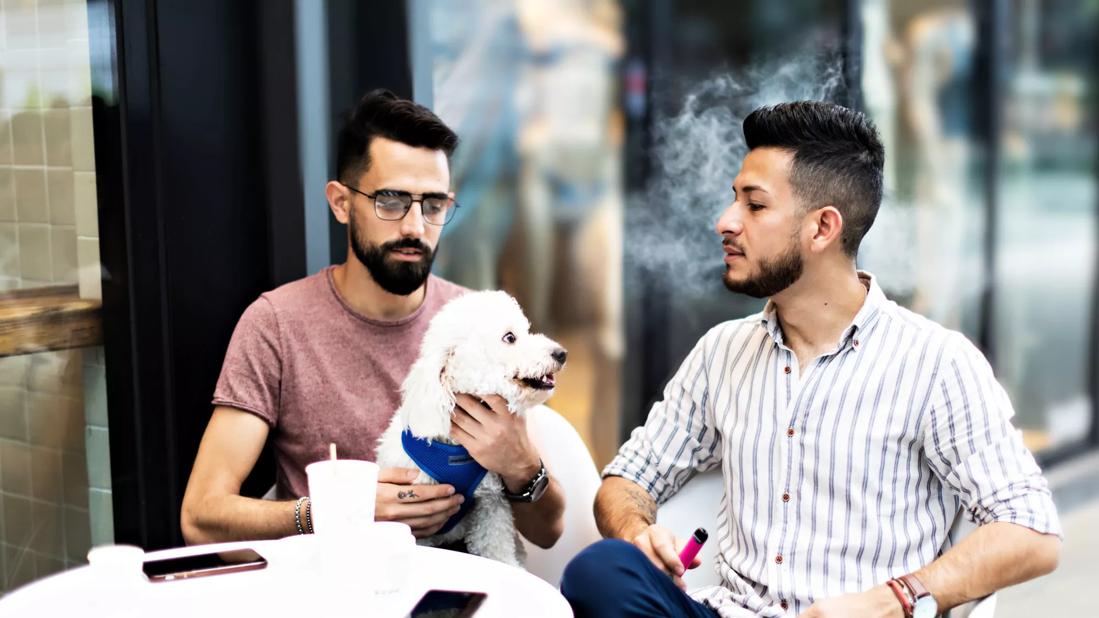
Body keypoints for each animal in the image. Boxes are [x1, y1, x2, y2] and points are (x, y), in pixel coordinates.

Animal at [375, 290, 567, 567]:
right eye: (510, 337)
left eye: (526, 330)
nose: (561, 353)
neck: (455, 449)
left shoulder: (492, 506)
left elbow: (497, 549)